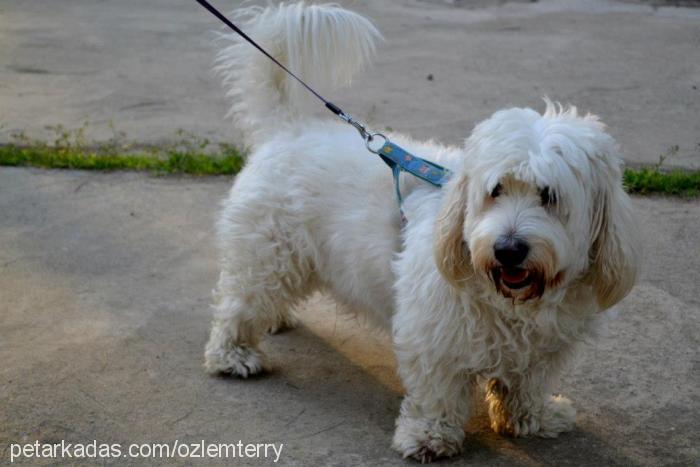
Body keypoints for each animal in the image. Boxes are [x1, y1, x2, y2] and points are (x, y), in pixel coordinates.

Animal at [202, 2, 640, 464]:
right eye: (496, 190)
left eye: (549, 195)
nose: (508, 249)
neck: (511, 303)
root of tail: (286, 130)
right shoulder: (433, 336)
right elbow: (437, 393)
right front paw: (429, 437)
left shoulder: (542, 351)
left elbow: (527, 385)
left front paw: (531, 419)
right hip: (265, 257)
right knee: (238, 305)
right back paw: (232, 354)